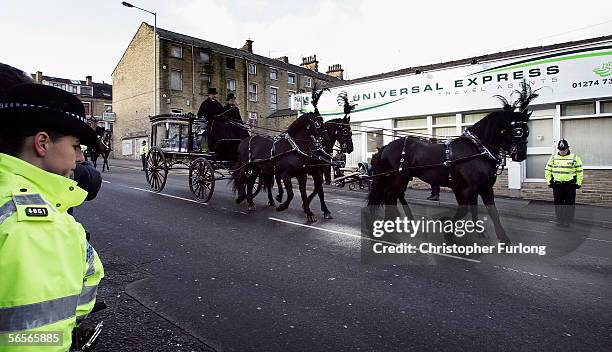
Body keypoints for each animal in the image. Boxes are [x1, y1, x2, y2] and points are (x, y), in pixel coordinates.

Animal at [232, 91, 330, 221]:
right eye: (318, 123)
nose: (327, 139)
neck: (294, 147)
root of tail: (245, 140)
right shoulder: (285, 175)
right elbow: (291, 194)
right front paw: (282, 206)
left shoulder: (302, 175)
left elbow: (303, 193)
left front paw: (309, 213)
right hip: (245, 165)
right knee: (241, 178)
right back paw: (241, 197)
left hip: (257, 167)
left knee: (250, 181)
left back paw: (250, 202)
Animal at [366, 82, 536, 243]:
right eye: (518, 131)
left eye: (527, 131)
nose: (521, 155)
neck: (477, 149)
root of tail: (387, 146)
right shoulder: (468, 187)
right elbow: (465, 209)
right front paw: (447, 227)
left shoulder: (484, 187)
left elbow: (491, 211)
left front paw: (500, 237)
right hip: (398, 177)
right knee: (390, 195)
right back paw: (389, 225)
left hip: (400, 178)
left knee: (392, 196)